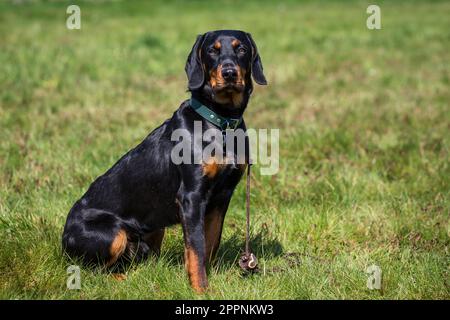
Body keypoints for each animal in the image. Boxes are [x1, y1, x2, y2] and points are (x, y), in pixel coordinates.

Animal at [61, 30, 266, 292]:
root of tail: (63, 239)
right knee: (92, 271)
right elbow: (197, 248)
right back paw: (122, 280)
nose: (229, 73)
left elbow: (210, 243)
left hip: (154, 225)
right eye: (212, 50)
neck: (221, 123)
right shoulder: (191, 197)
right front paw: (201, 290)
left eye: (241, 49)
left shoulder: (222, 196)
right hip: (112, 233)